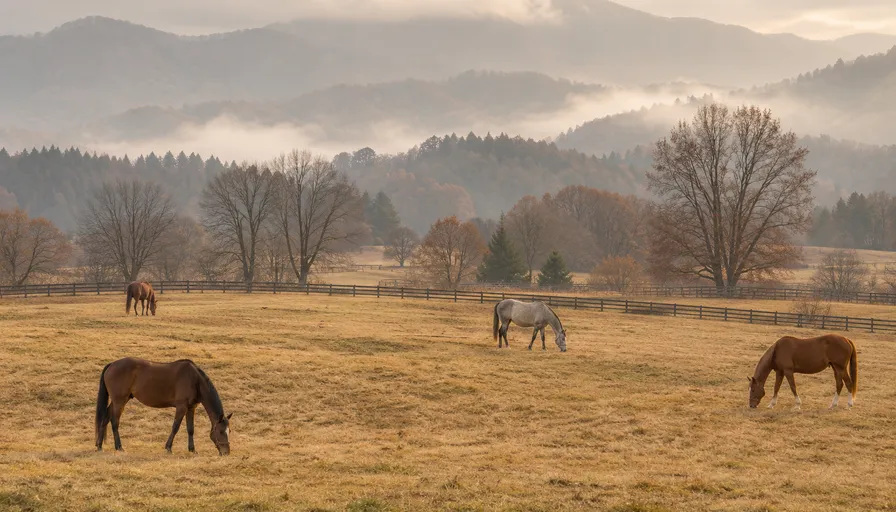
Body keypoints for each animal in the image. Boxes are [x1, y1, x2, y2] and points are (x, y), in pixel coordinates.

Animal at [95, 358, 233, 455]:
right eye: (221, 431)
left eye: (229, 431)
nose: (226, 452)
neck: (195, 380)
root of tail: (112, 364)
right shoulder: (181, 407)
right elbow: (175, 427)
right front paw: (168, 448)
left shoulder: (191, 408)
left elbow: (190, 429)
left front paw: (192, 449)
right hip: (119, 401)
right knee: (114, 422)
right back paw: (119, 447)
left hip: (118, 401)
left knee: (105, 418)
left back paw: (99, 445)